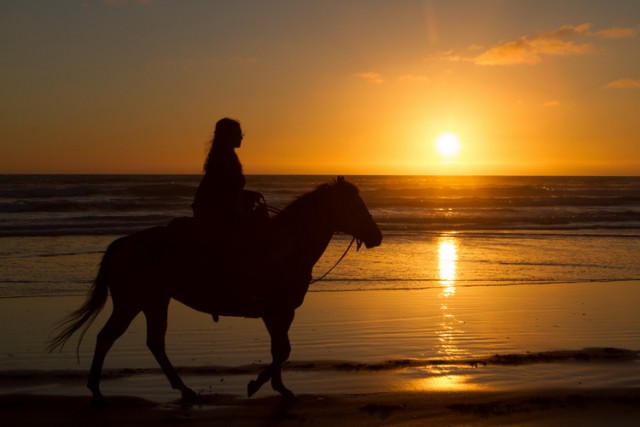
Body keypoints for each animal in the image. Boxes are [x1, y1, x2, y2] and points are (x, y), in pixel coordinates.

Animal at [48, 177, 384, 404]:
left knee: (154, 342)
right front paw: (259, 385)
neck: (288, 245)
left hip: (155, 300)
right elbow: (282, 350)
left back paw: (184, 390)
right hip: (132, 302)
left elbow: (279, 349)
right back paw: (96, 389)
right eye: (357, 205)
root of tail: (124, 243)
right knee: (108, 337)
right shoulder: (276, 311)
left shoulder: (278, 313)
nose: (377, 235)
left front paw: (278, 387)